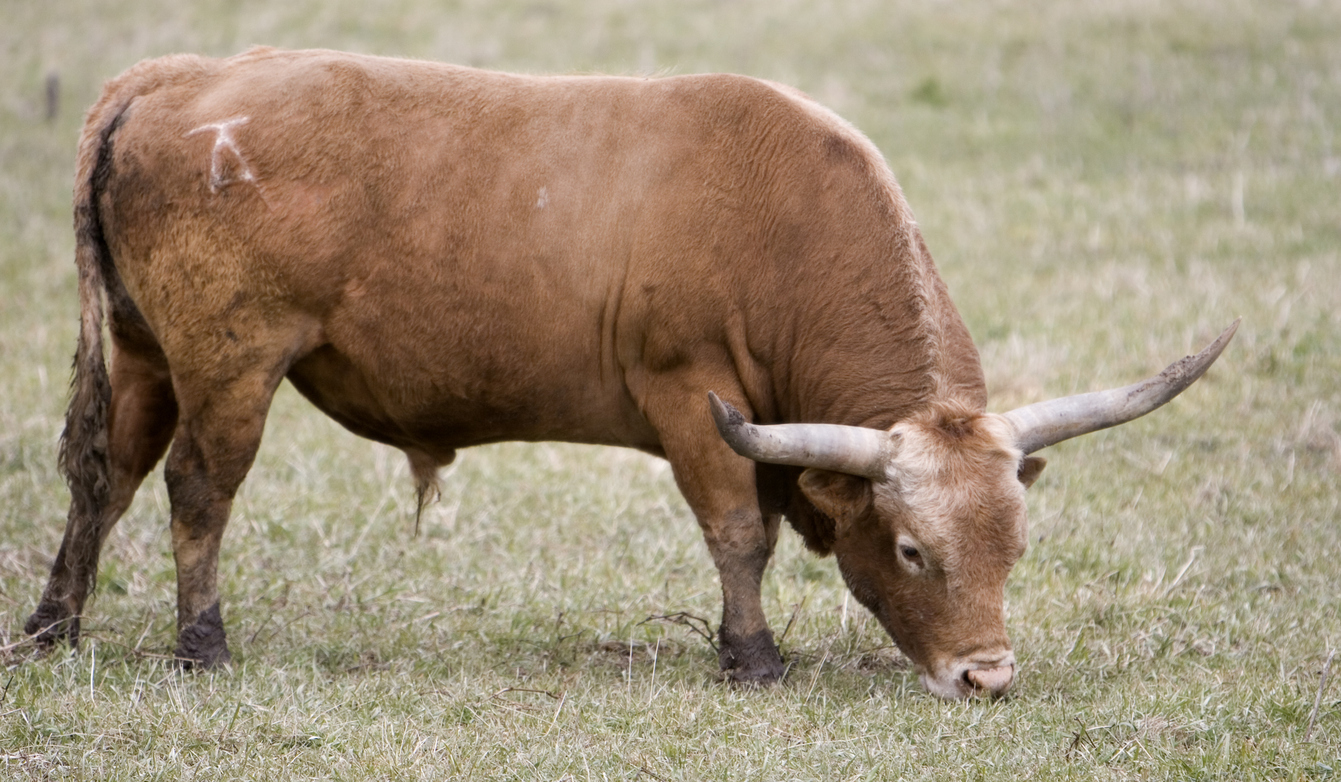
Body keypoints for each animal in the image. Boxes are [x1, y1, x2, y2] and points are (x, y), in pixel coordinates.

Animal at [25, 47, 1236, 699]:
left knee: (104, 479)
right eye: (910, 549)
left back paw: (53, 625)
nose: (986, 675)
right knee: (198, 490)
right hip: (229, 363)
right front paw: (752, 655)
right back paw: (201, 642)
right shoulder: (691, 397)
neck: (784, 223)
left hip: (144, 354)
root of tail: (177, 75)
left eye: (1016, 545)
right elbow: (738, 532)